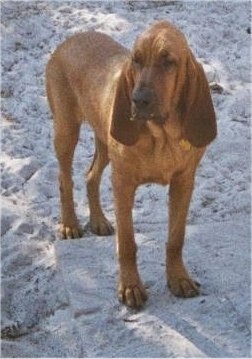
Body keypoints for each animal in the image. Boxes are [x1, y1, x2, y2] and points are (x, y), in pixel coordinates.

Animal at [46, 19, 217, 308]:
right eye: (136, 60)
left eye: (168, 61)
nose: (138, 100)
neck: (162, 137)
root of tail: (69, 40)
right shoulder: (123, 184)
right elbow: (127, 243)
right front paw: (130, 287)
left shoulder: (184, 182)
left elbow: (176, 239)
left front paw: (179, 279)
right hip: (66, 131)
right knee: (64, 179)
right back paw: (70, 224)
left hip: (104, 142)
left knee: (90, 176)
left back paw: (98, 221)